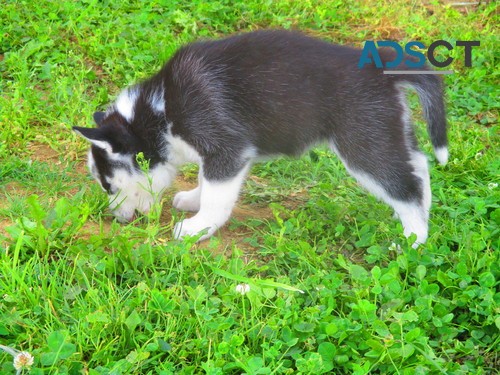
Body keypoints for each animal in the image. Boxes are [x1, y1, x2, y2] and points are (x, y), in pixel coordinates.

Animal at [73, 30, 450, 247]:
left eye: (108, 185)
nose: (115, 219)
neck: (160, 110)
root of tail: (379, 67)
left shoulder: (227, 151)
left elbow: (217, 197)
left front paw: (198, 227)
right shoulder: (220, 156)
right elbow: (205, 182)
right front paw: (194, 199)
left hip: (362, 144)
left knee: (404, 186)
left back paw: (413, 237)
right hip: (386, 131)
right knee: (418, 164)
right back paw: (425, 212)